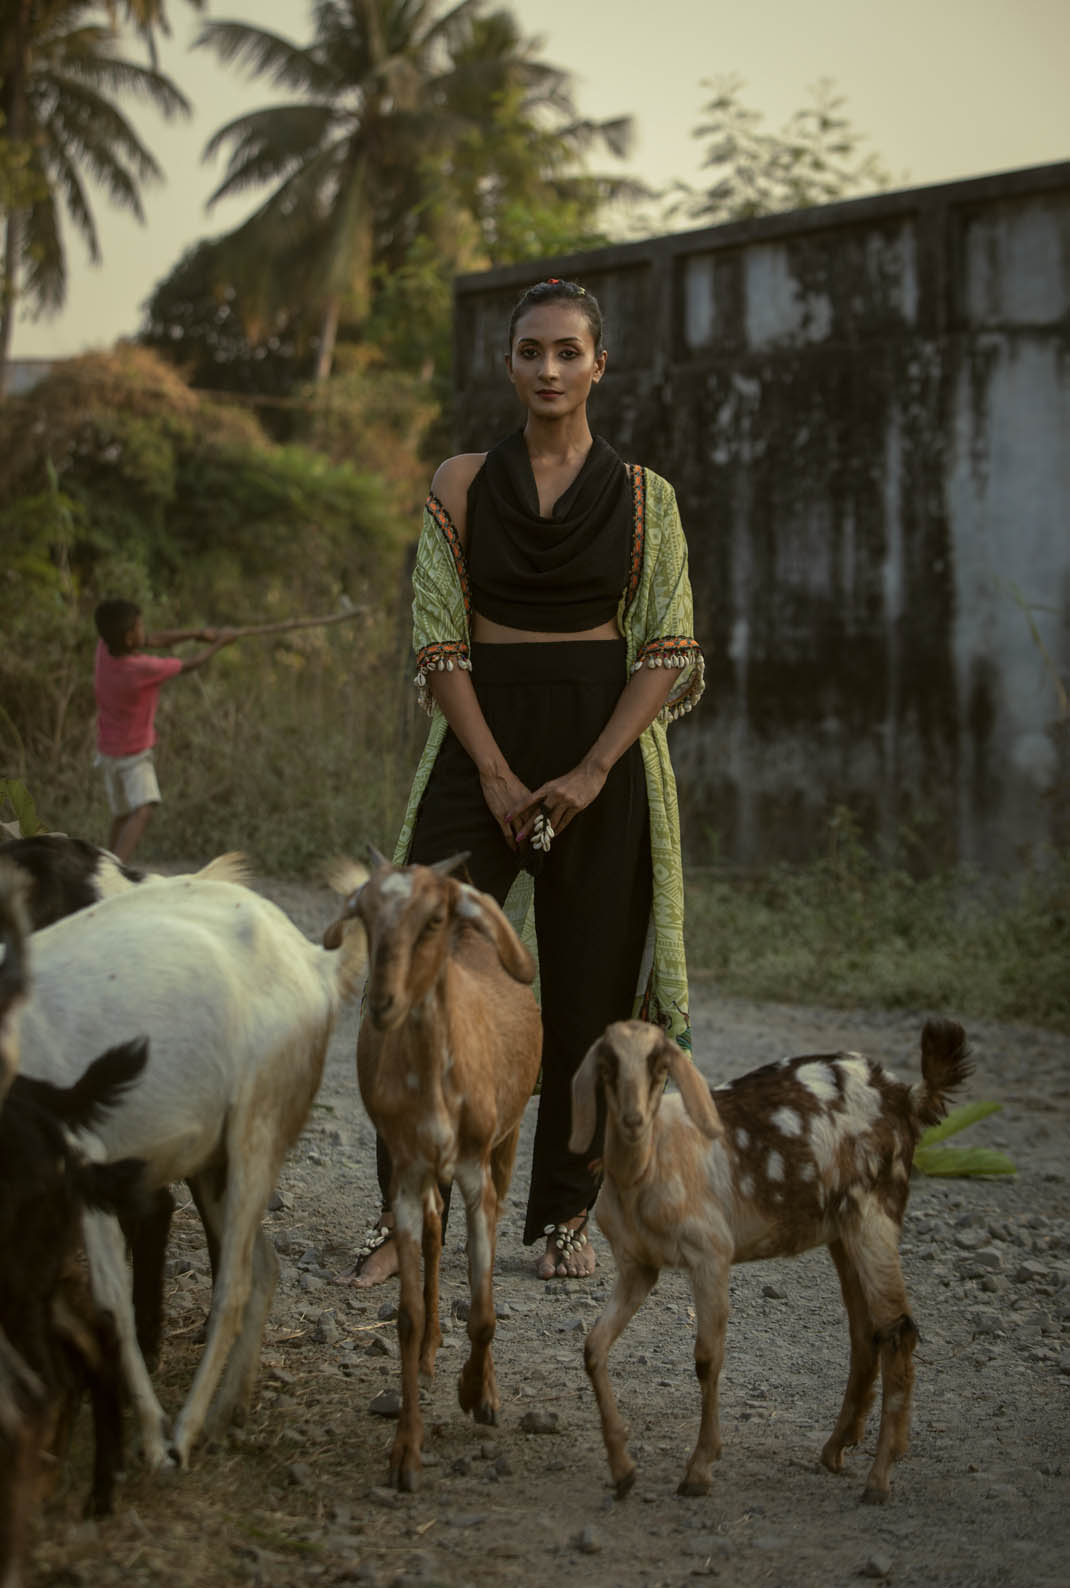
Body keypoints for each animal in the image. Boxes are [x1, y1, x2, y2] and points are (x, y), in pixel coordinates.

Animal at [13, 863, 366, 1467]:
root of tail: (311, 962)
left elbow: (109, 1302)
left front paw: (152, 1439)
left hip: (256, 1130)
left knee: (235, 1284)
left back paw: (186, 1431)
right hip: (212, 1163)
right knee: (265, 1266)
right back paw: (224, 1416)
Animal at [322, 851, 542, 1492]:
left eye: (432, 917)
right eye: (366, 914)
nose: (383, 1001)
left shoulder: (475, 1173)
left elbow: (486, 1309)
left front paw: (480, 1395)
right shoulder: (408, 1171)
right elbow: (406, 1316)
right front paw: (405, 1454)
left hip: (506, 1143)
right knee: (437, 1233)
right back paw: (427, 1355)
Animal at [571, 1016, 971, 1499]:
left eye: (658, 1064)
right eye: (607, 1065)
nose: (632, 1120)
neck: (649, 1164)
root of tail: (904, 1094)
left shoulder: (710, 1255)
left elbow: (707, 1358)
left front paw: (699, 1469)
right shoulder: (638, 1266)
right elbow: (594, 1348)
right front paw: (623, 1468)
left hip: (874, 1214)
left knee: (897, 1331)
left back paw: (879, 1478)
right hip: (842, 1231)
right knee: (865, 1333)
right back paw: (838, 1447)